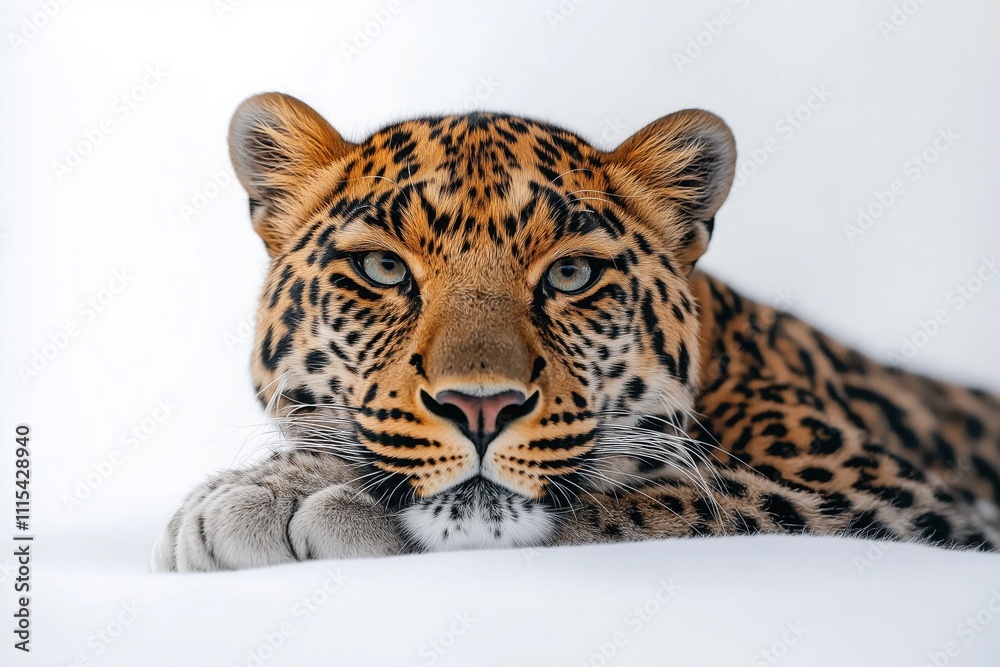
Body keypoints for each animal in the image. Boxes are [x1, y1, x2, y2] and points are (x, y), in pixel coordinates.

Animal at [151, 92, 1000, 572]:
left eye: (569, 276)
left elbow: (667, 497)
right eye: (384, 269)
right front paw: (266, 486)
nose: (481, 407)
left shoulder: (882, 487)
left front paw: (311, 500)